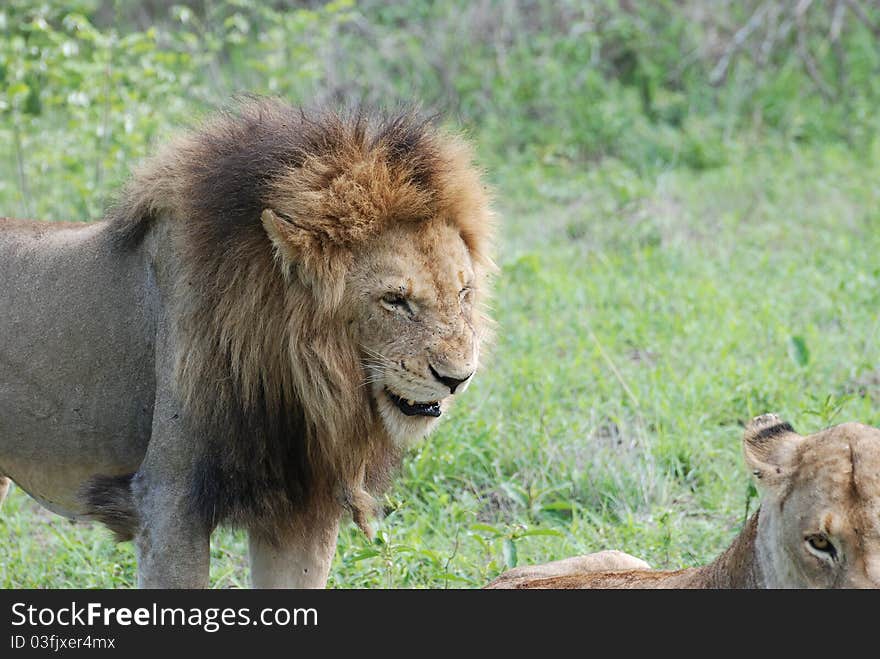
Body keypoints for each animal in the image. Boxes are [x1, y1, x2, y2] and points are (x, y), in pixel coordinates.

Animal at [0, 98, 496, 588]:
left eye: (463, 293)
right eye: (395, 300)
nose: (458, 379)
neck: (292, 380)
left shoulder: (304, 505)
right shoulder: (167, 501)